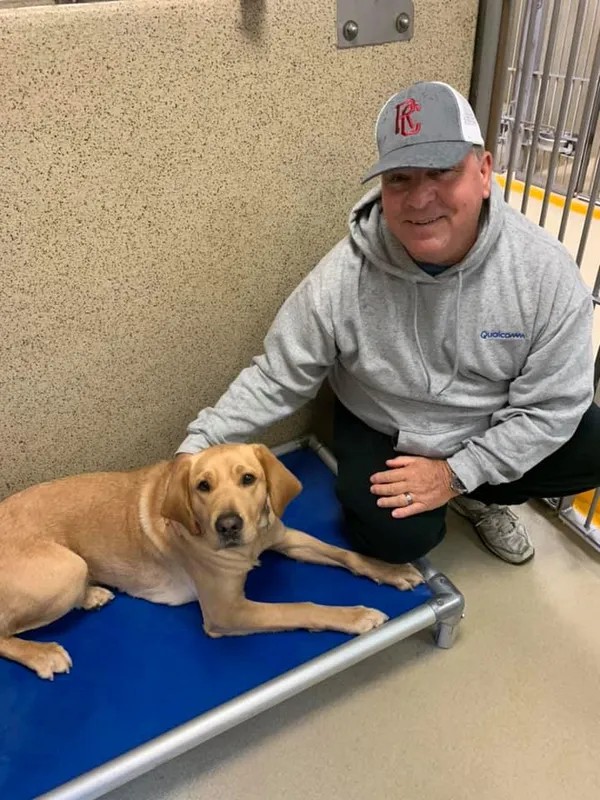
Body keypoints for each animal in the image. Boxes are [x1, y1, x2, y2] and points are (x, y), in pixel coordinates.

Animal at [0, 444, 424, 679]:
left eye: (248, 479)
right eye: (202, 486)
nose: (229, 525)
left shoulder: (284, 537)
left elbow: (345, 553)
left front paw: (391, 570)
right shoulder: (228, 611)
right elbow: (301, 607)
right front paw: (354, 616)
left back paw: (90, 596)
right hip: (67, 569)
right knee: (4, 631)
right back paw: (43, 652)